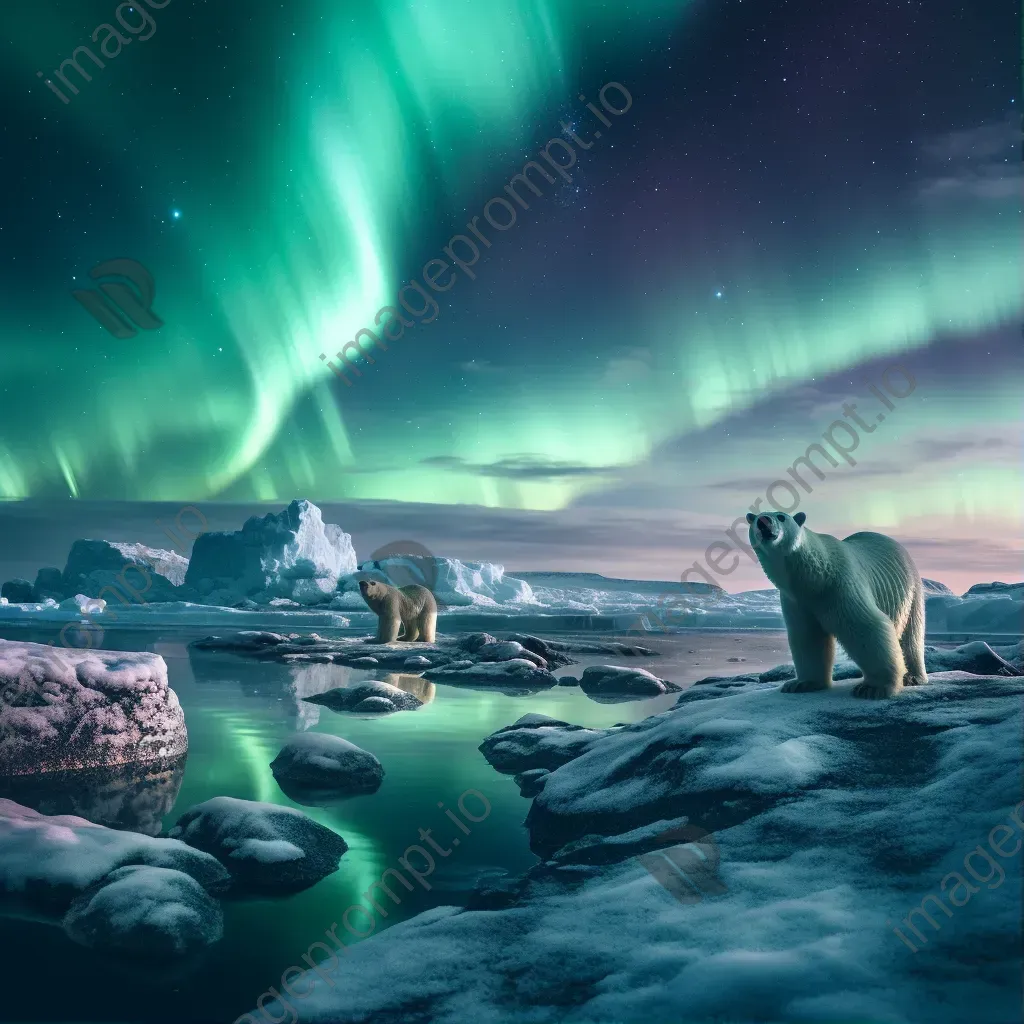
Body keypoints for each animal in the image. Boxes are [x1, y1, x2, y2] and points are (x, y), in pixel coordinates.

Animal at [745, 509, 929, 700]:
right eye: (755, 518)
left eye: (781, 517)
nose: (764, 521)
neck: (815, 577)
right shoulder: (796, 600)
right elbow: (807, 636)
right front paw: (801, 683)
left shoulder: (841, 586)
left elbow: (866, 627)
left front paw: (873, 688)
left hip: (910, 590)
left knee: (911, 636)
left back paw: (913, 677)